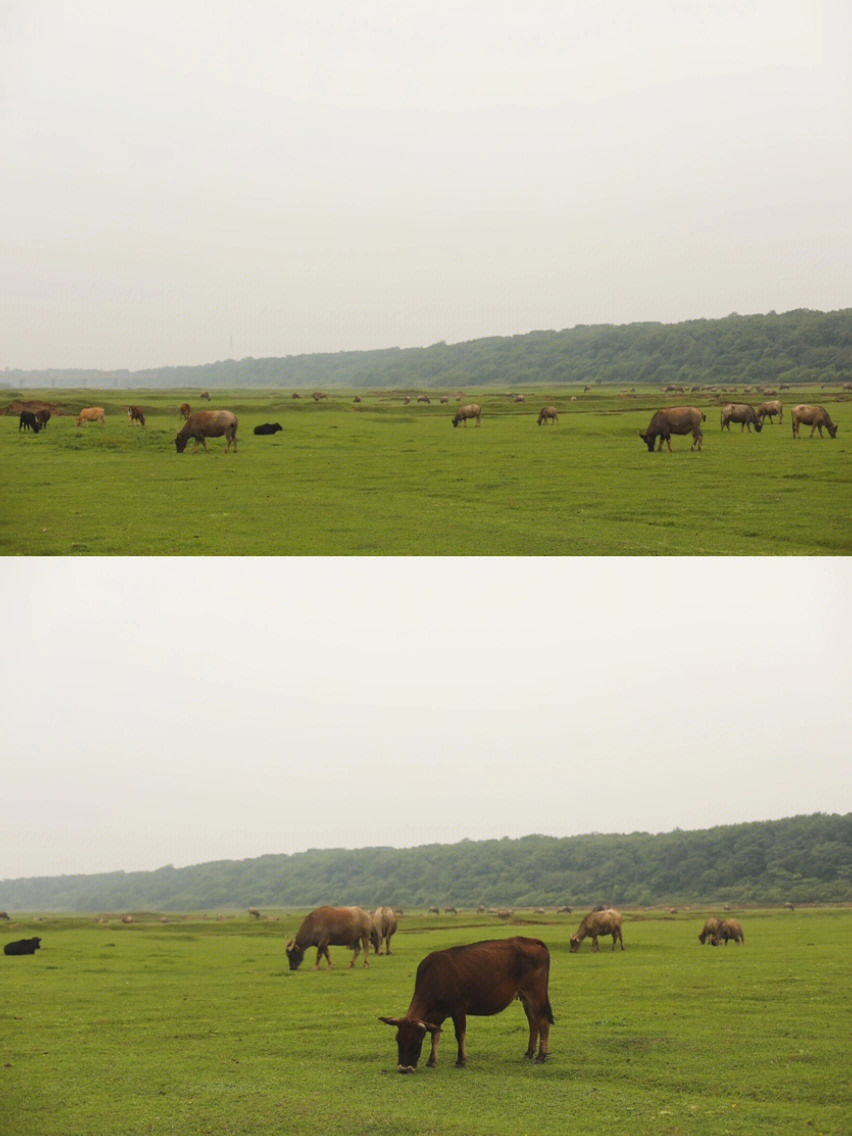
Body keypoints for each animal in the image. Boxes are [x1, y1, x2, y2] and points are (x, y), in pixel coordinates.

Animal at [379, 931, 554, 1072]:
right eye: (398, 1040)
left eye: (417, 1041)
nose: (404, 1068)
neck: (435, 976)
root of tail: (530, 941)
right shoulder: (436, 1015)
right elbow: (435, 1035)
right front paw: (431, 1061)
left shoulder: (459, 1009)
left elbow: (460, 1034)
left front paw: (460, 1060)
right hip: (525, 996)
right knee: (533, 1023)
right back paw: (529, 1053)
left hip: (536, 993)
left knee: (543, 1022)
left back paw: (540, 1056)